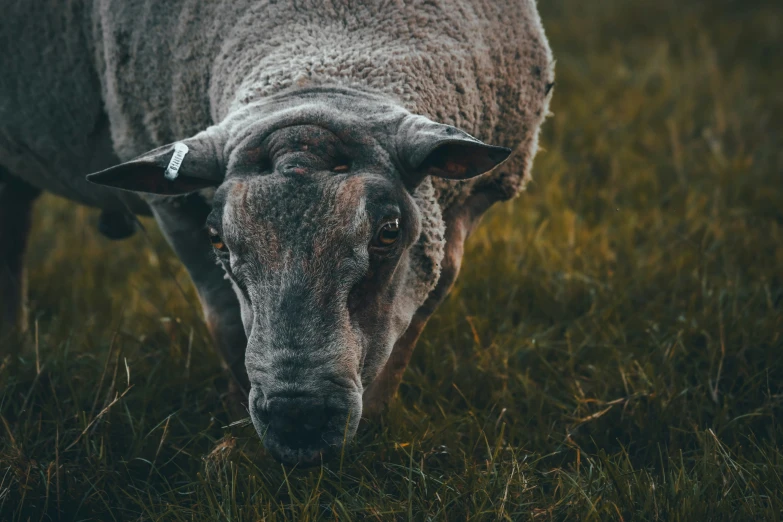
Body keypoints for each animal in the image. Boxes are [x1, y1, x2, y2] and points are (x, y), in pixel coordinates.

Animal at [0, 0, 556, 464]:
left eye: (389, 232)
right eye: (218, 239)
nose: (298, 419)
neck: (328, 38)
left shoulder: (464, 209)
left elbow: (415, 318)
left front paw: (376, 422)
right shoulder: (174, 207)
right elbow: (225, 320)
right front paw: (233, 424)